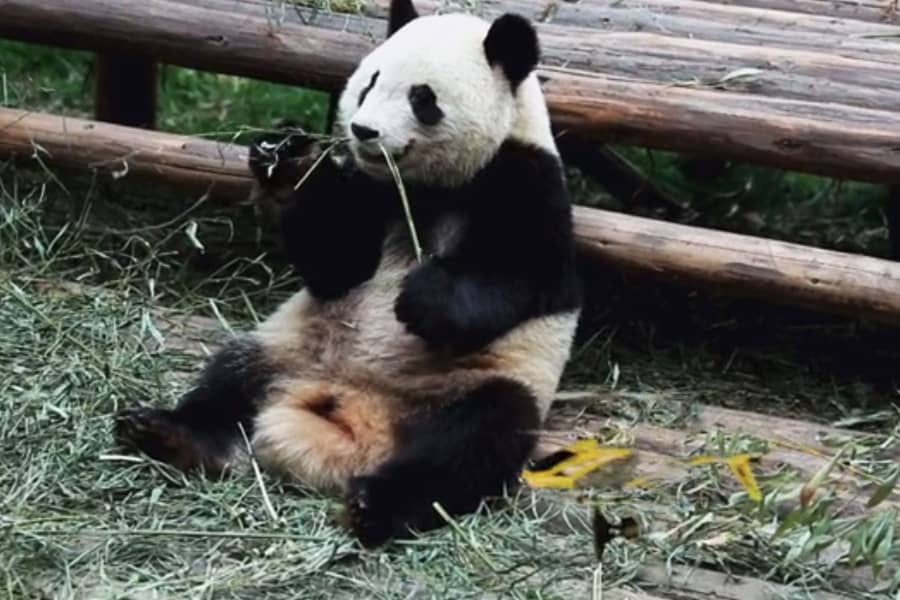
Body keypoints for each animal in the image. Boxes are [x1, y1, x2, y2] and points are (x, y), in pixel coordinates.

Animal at [113, 0, 582, 548]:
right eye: (369, 82)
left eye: (422, 98)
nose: (363, 131)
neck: (422, 187)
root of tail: (358, 419)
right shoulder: (368, 189)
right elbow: (336, 265)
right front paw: (285, 156)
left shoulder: (525, 180)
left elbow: (530, 277)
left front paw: (422, 300)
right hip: (288, 346)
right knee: (231, 377)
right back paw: (168, 432)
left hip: (480, 381)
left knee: (476, 437)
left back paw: (377, 505)